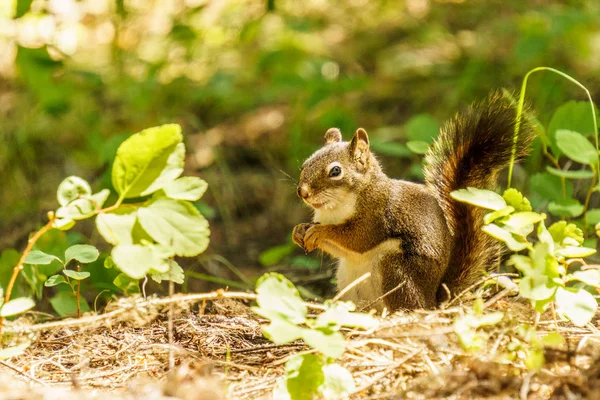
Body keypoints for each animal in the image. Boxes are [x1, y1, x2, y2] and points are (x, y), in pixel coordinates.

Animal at [290, 92, 536, 310]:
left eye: (335, 171)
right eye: (305, 164)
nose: (303, 192)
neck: (335, 208)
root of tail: (433, 299)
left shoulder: (375, 215)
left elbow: (357, 238)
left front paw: (322, 231)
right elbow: (338, 249)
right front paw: (299, 230)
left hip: (395, 268)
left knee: (408, 305)